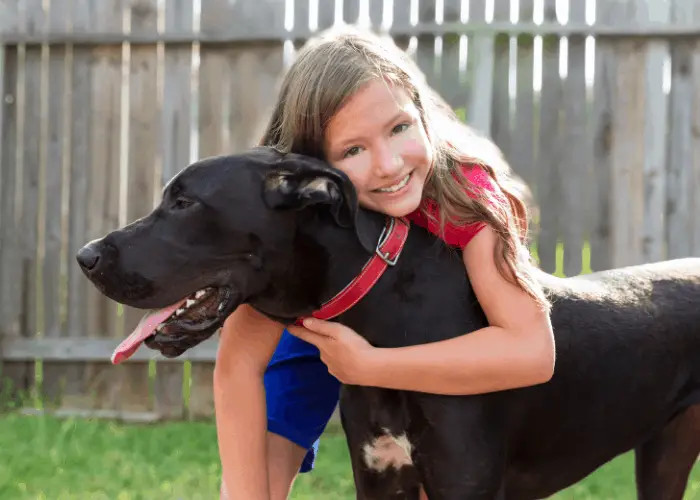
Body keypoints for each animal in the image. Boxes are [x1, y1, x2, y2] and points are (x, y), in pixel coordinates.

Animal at [75, 148, 700, 500]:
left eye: (184, 204)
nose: (85, 256)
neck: (392, 325)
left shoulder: (465, 483)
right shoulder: (379, 478)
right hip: (664, 456)